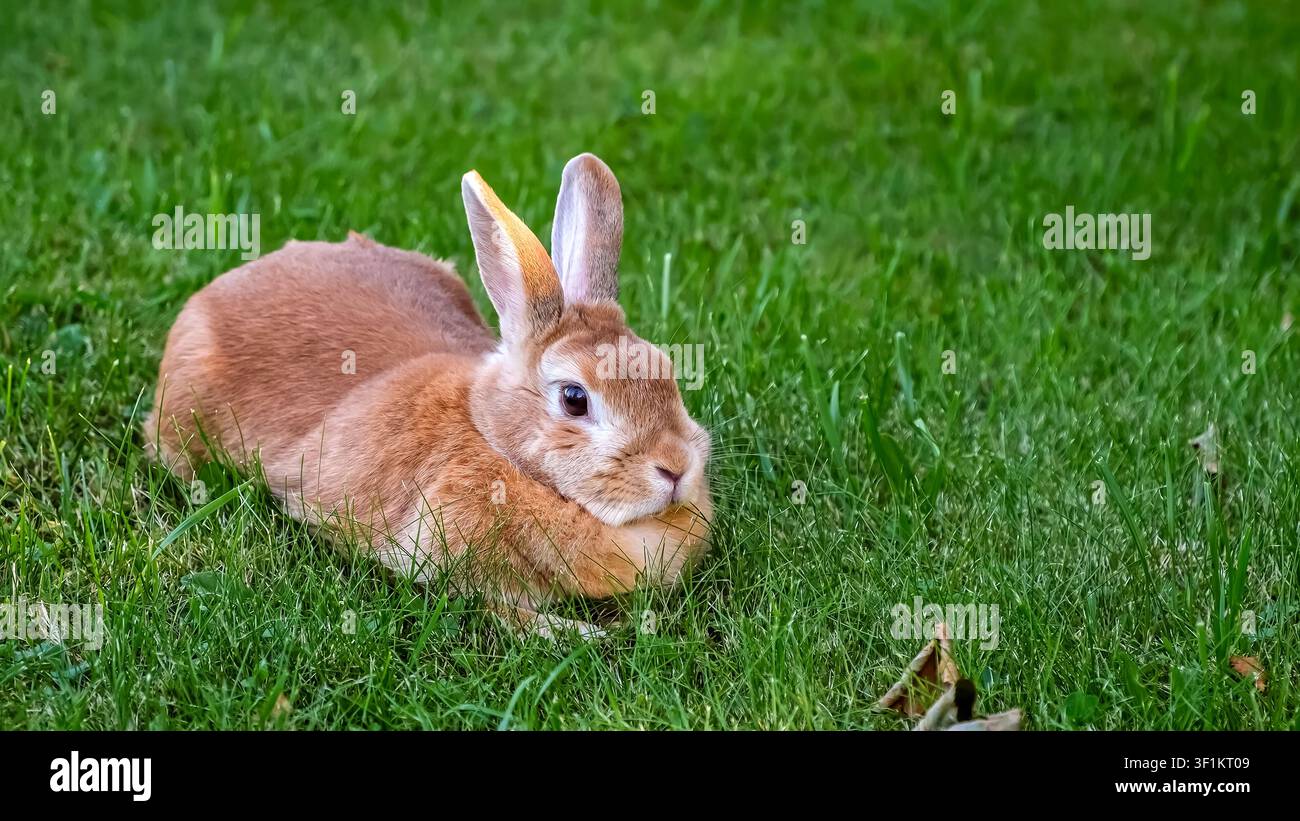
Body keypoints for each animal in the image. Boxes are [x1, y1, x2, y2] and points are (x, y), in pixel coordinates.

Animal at [145, 153, 713, 637]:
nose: (676, 467)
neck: (494, 440)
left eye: (665, 370)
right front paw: (580, 634)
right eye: (575, 398)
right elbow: (494, 607)